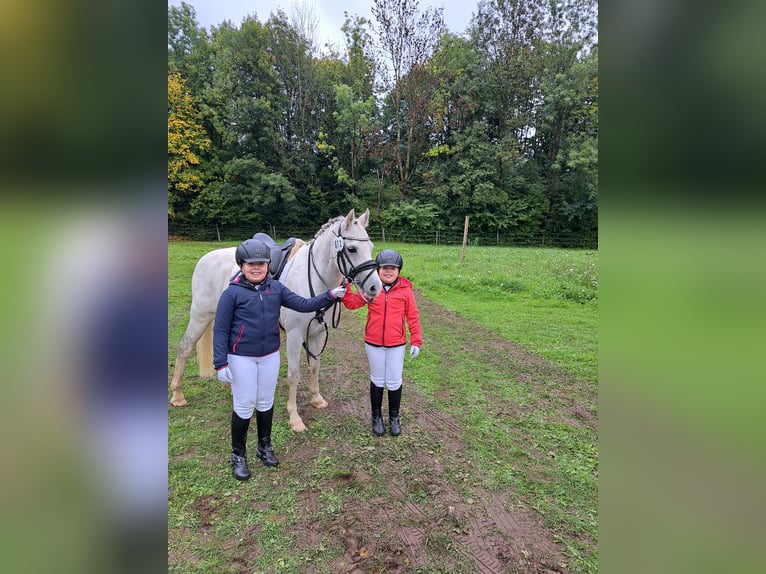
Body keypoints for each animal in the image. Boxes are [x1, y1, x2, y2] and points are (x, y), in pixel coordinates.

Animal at [168, 208, 382, 432]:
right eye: (352, 249)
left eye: (371, 247)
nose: (375, 288)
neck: (315, 279)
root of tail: (205, 258)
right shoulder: (295, 336)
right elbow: (294, 375)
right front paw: (294, 418)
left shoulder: (318, 333)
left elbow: (315, 367)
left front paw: (317, 399)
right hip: (200, 316)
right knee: (184, 347)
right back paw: (177, 395)